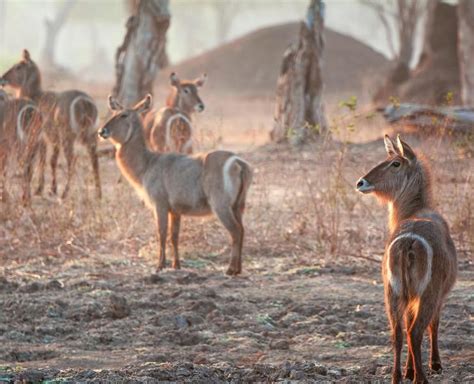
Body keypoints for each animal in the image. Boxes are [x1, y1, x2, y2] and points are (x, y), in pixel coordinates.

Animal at [0, 49, 101, 200]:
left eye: (18, 66)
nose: (2, 79)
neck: (35, 95)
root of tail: (85, 101)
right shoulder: (52, 139)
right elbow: (52, 161)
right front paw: (51, 189)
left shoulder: (43, 138)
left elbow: (43, 161)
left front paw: (40, 189)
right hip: (90, 135)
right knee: (94, 158)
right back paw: (98, 194)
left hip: (68, 136)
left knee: (72, 160)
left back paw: (65, 193)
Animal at [99, 95, 252, 276]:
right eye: (114, 112)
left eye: (124, 115)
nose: (102, 131)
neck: (147, 164)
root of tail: (239, 162)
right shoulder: (176, 210)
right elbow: (174, 236)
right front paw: (176, 265)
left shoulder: (160, 204)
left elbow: (161, 233)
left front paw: (159, 265)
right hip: (238, 205)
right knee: (242, 230)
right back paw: (239, 268)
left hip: (221, 205)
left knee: (235, 231)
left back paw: (231, 269)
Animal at [358, 134, 458, 380]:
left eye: (395, 163)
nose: (360, 182)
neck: (415, 210)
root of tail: (408, 242)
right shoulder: (440, 295)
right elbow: (434, 325)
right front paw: (434, 365)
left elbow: (406, 324)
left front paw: (408, 370)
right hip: (427, 292)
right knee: (416, 331)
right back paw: (421, 378)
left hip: (392, 292)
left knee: (397, 333)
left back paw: (397, 377)